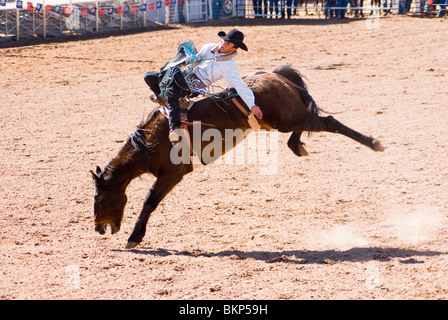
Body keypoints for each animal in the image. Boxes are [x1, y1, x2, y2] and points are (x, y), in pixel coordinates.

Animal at [92, 65, 384, 250]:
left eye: (99, 198)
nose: (98, 228)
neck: (151, 141)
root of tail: (274, 75)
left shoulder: (172, 174)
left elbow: (149, 202)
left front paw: (134, 237)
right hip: (281, 121)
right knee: (309, 124)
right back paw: (297, 145)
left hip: (288, 119)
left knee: (329, 122)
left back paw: (374, 143)